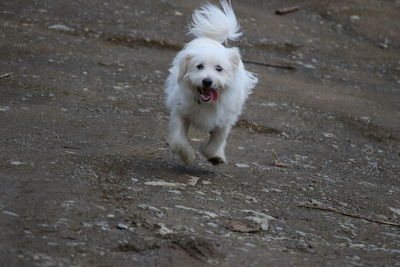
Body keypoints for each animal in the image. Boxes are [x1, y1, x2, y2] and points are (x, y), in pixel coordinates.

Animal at [165, 1, 256, 165]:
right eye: (199, 66)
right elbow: (178, 140)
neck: (206, 103)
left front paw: (214, 155)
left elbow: (217, 141)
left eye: (219, 68)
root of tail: (210, 39)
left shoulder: (224, 121)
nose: (207, 81)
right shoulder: (180, 112)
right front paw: (188, 156)